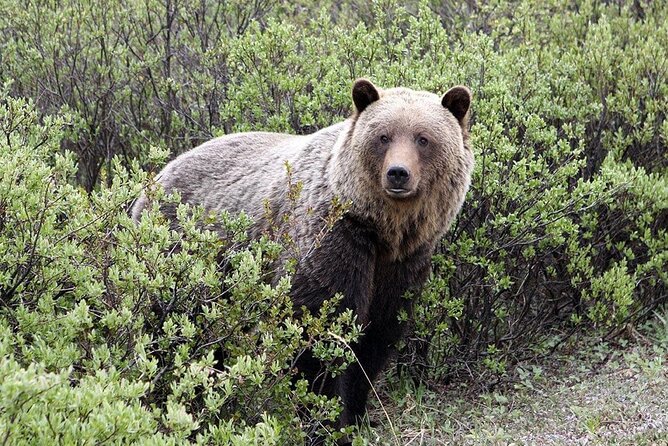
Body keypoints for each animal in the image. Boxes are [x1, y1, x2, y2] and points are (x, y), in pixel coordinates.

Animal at [132, 79, 474, 440]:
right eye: (383, 136)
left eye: (423, 138)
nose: (398, 173)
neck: (382, 231)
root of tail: (156, 176)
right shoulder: (331, 241)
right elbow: (315, 334)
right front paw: (324, 421)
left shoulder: (403, 262)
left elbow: (376, 337)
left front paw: (357, 415)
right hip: (180, 257)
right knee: (171, 327)